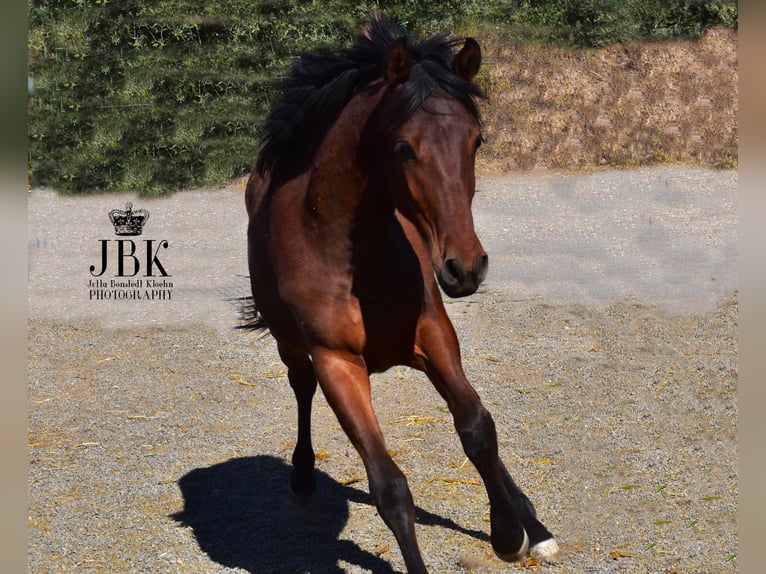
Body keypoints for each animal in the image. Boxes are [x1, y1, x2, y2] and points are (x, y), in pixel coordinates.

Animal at [244, 16, 559, 572]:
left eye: (477, 141)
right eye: (405, 148)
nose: (464, 267)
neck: (354, 257)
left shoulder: (434, 335)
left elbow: (479, 430)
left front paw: (509, 532)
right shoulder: (338, 364)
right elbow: (389, 486)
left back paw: (533, 525)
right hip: (291, 343)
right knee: (300, 385)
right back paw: (302, 477)